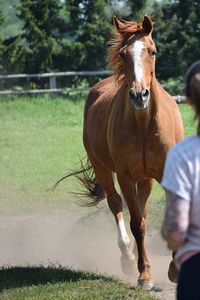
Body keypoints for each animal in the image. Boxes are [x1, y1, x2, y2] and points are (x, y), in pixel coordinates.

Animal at [63, 15, 184, 288]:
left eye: (152, 51)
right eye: (123, 53)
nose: (139, 95)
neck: (144, 125)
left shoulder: (166, 175)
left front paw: (175, 269)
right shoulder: (126, 177)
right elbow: (136, 223)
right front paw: (145, 275)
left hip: (146, 179)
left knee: (142, 210)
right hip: (104, 170)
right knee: (117, 205)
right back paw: (128, 257)